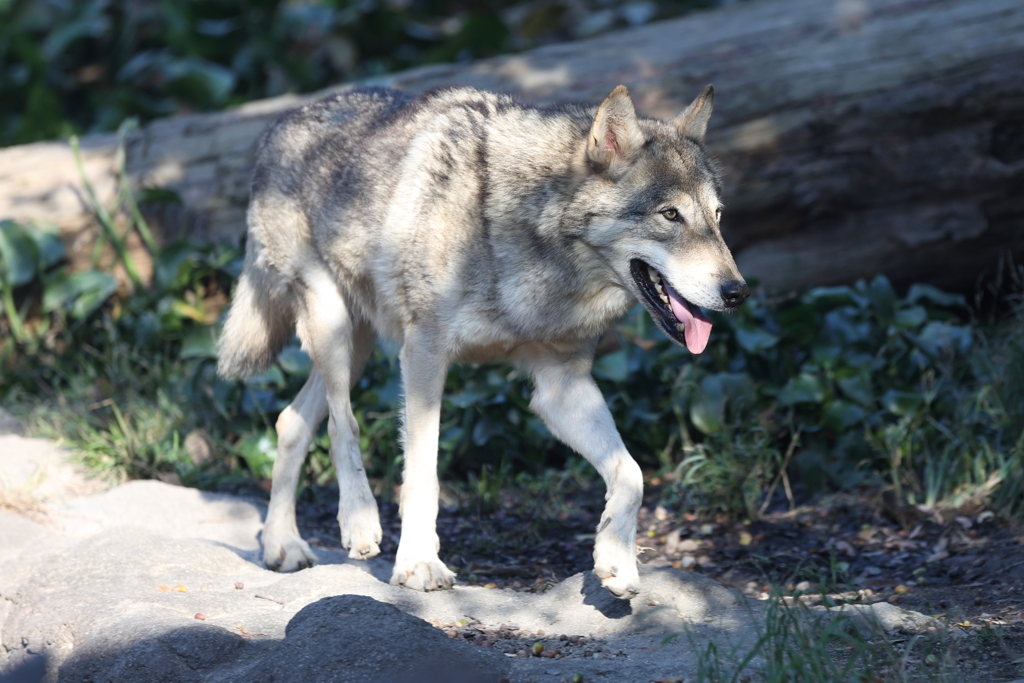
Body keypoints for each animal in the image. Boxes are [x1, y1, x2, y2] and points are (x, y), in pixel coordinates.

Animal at [218, 83, 745, 598]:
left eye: (718, 217)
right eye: (670, 215)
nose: (737, 292)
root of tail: (279, 124)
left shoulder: (561, 387)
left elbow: (631, 473)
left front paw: (616, 560)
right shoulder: (424, 356)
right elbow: (423, 474)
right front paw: (418, 563)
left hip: (360, 345)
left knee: (291, 421)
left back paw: (282, 545)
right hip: (334, 324)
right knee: (341, 422)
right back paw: (359, 522)